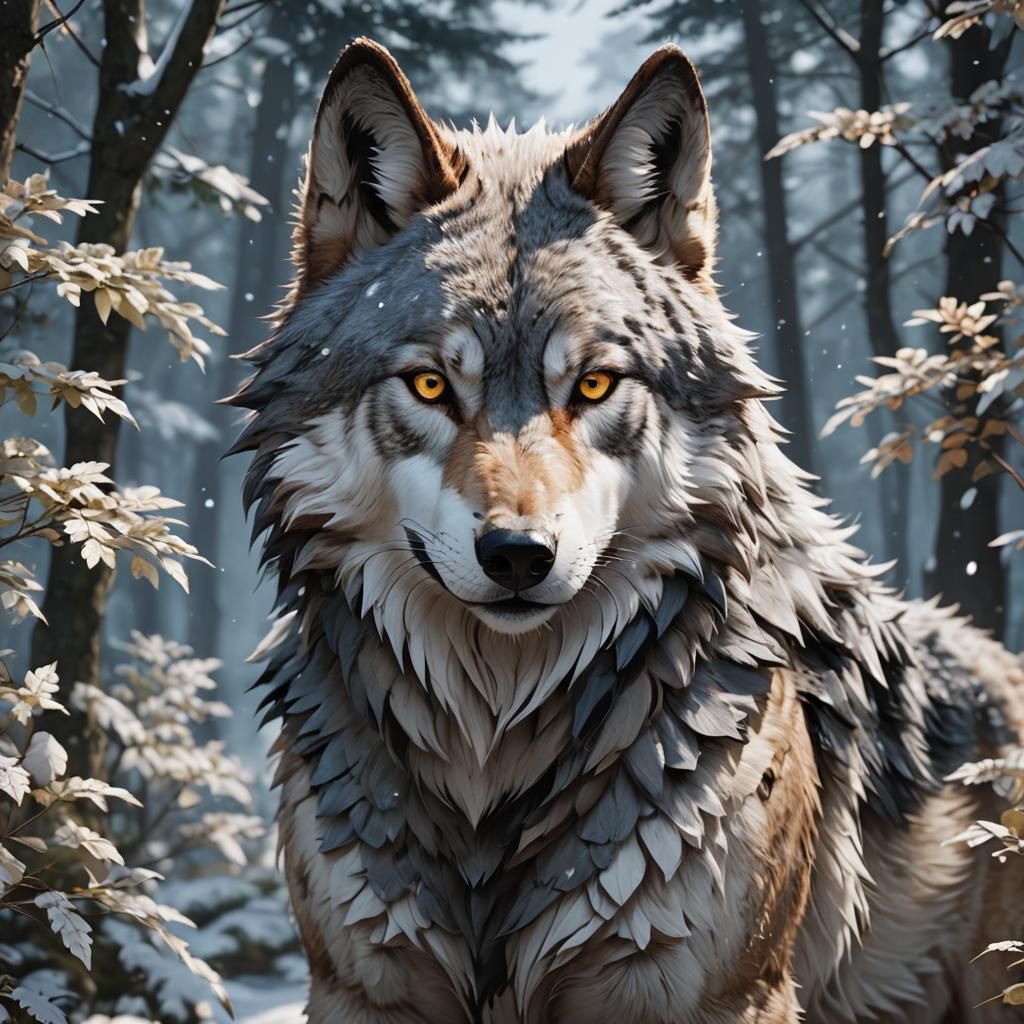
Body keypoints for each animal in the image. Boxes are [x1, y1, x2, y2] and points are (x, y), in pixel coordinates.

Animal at [230, 38, 1024, 1024]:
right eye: (430, 386)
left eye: (595, 385)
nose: (519, 555)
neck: (495, 759)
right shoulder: (361, 989)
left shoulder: (719, 995)